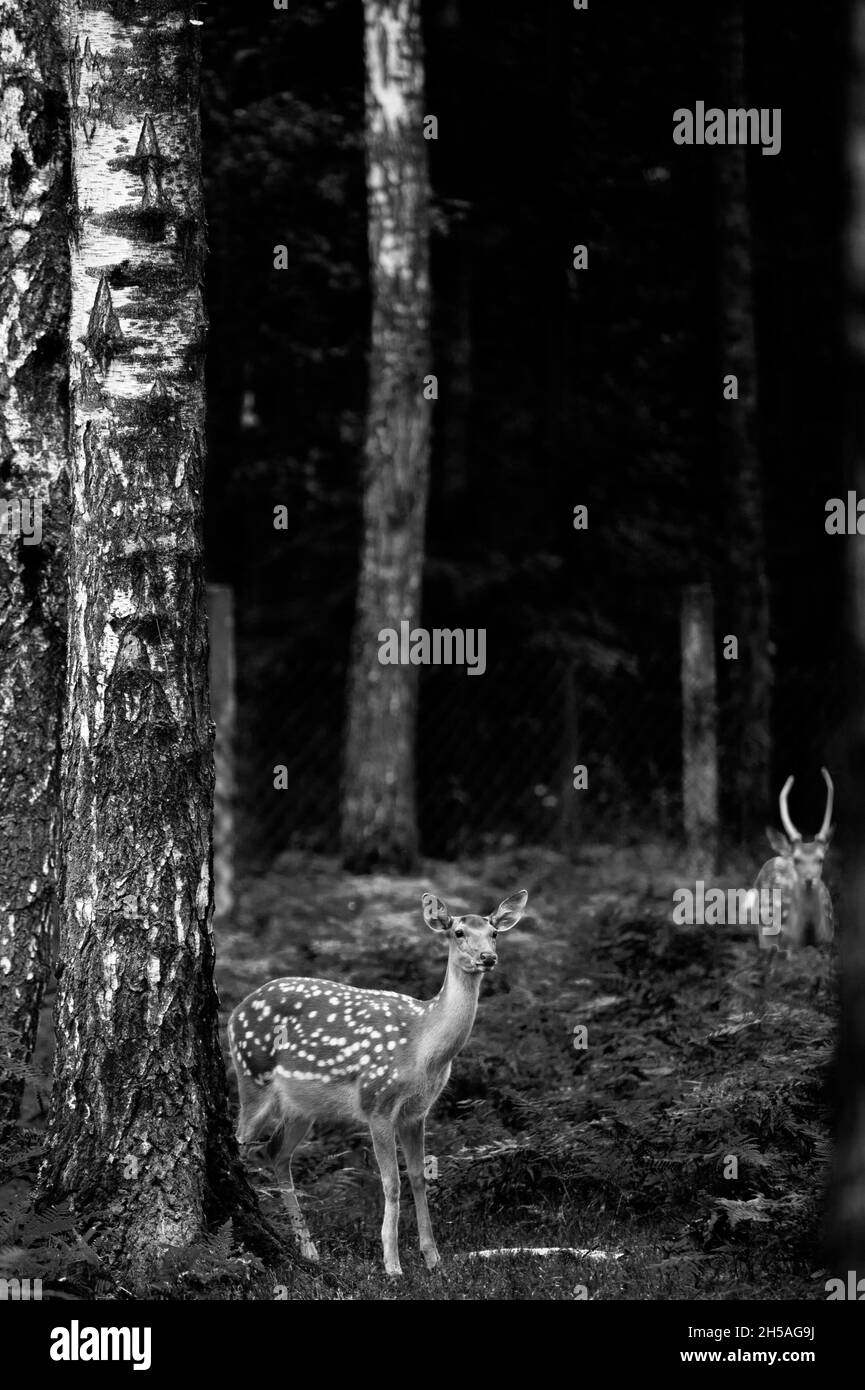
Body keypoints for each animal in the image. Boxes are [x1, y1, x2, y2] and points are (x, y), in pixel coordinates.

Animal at [228, 888, 528, 1276]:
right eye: (458, 932)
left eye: (494, 933)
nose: (488, 957)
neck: (423, 1047)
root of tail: (237, 1010)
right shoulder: (377, 1103)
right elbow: (391, 1182)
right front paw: (392, 1264)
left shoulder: (417, 1112)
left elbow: (417, 1176)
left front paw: (433, 1259)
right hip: (252, 1076)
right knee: (240, 1144)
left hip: (301, 1107)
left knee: (275, 1151)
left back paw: (308, 1250)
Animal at [752, 767, 834, 949]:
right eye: (797, 860)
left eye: (821, 859)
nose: (809, 879)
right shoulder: (787, 945)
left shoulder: (829, 943)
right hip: (763, 935)